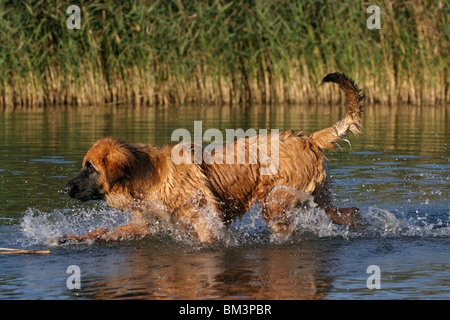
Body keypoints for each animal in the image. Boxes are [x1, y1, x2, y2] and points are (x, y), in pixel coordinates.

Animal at [61, 72, 364, 244]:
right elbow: (102, 232)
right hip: (315, 198)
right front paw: (71, 238)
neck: (146, 177)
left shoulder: (205, 221)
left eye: (89, 168)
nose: (64, 188)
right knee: (350, 213)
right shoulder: (148, 224)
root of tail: (307, 138)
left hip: (276, 203)